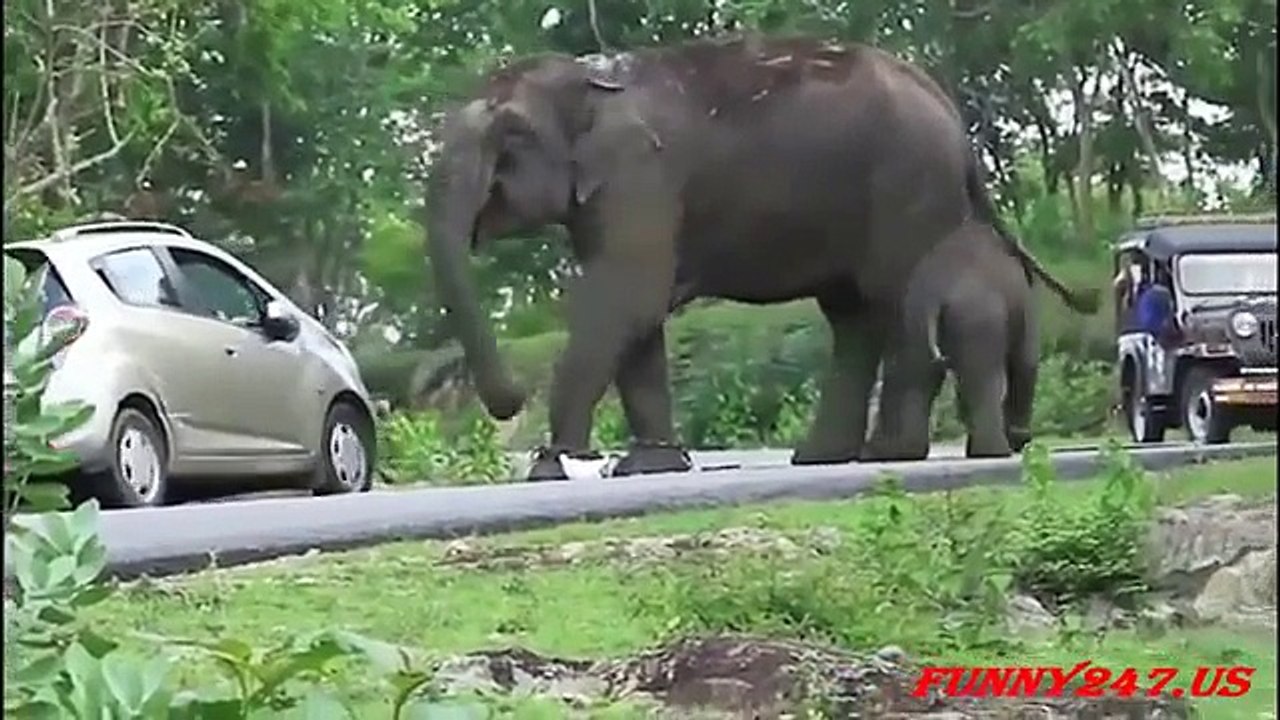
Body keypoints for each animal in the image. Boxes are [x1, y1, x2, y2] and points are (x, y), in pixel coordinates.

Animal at [864, 217, 1045, 461]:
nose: (1024, 441)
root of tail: (934, 296)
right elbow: (1026, 361)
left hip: (913, 321)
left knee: (915, 378)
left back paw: (902, 452)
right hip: (976, 317)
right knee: (984, 379)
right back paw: (994, 452)